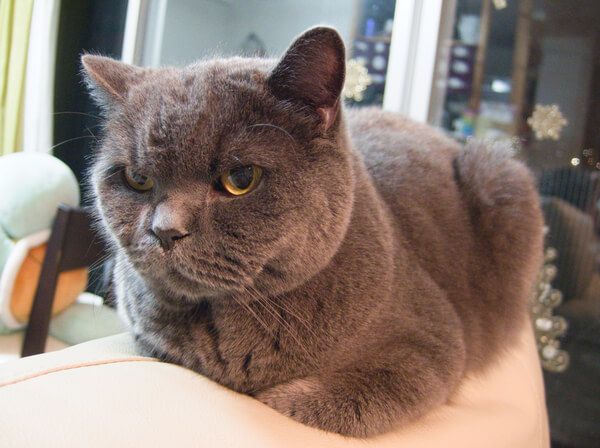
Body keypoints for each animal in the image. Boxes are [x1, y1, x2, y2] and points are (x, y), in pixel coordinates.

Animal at [82, 28, 548, 438]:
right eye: (138, 179)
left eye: (240, 179)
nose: (164, 230)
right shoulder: (145, 334)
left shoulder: (430, 343)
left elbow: (328, 403)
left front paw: (276, 397)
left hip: (499, 177)